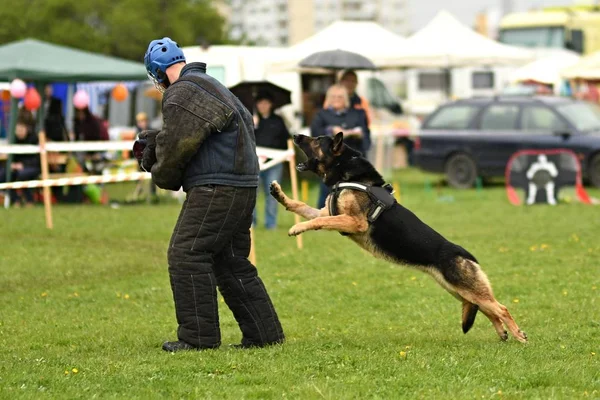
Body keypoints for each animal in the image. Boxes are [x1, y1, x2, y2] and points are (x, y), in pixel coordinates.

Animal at [270, 133, 528, 342]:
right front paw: (280, 194)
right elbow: (301, 206)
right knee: (488, 308)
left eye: (316, 140)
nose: (295, 135)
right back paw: (502, 333)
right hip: (458, 290)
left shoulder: (354, 221)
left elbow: (316, 221)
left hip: (465, 288)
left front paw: (297, 228)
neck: (349, 174)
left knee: (501, 308)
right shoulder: (328, 213)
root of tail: (466, 255)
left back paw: (519, 335)